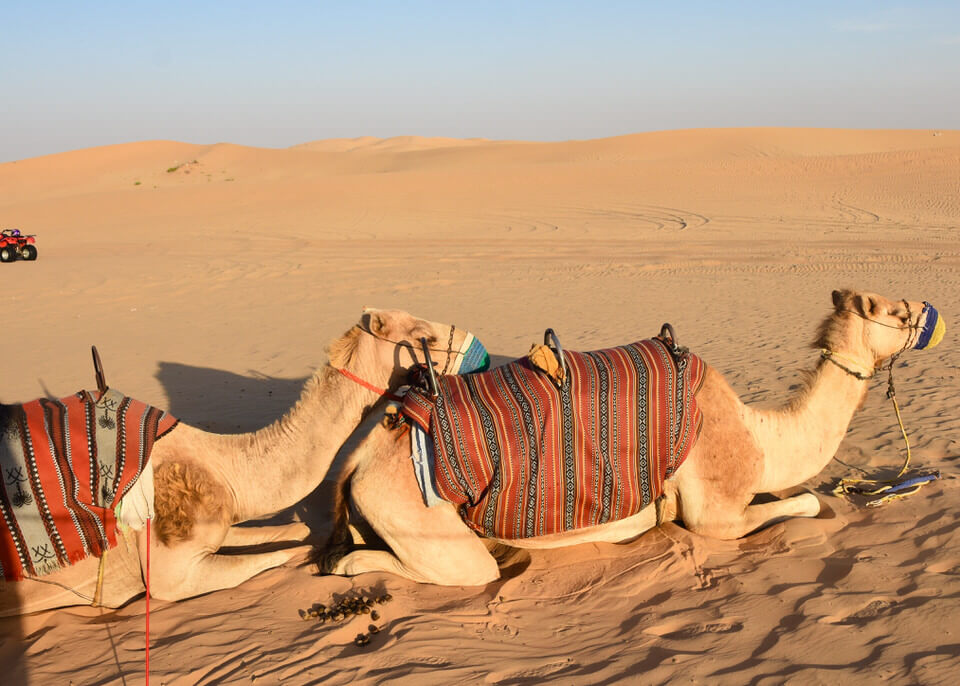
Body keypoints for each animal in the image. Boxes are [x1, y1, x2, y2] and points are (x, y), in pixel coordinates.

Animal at [0, 310, 480, 616]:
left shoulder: (220, 526)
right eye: (424, 336)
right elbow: (291, 553)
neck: (222, 464)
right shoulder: (174, 574)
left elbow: (295, 533)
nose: (479, 348)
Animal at [320, 290, 944, 584]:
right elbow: (808, 501)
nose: (930, 311)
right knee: (461, 570)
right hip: (415, 511)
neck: (760, 434)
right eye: (893, 310)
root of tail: (366, 451)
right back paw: (352, 568)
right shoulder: (715, 514)